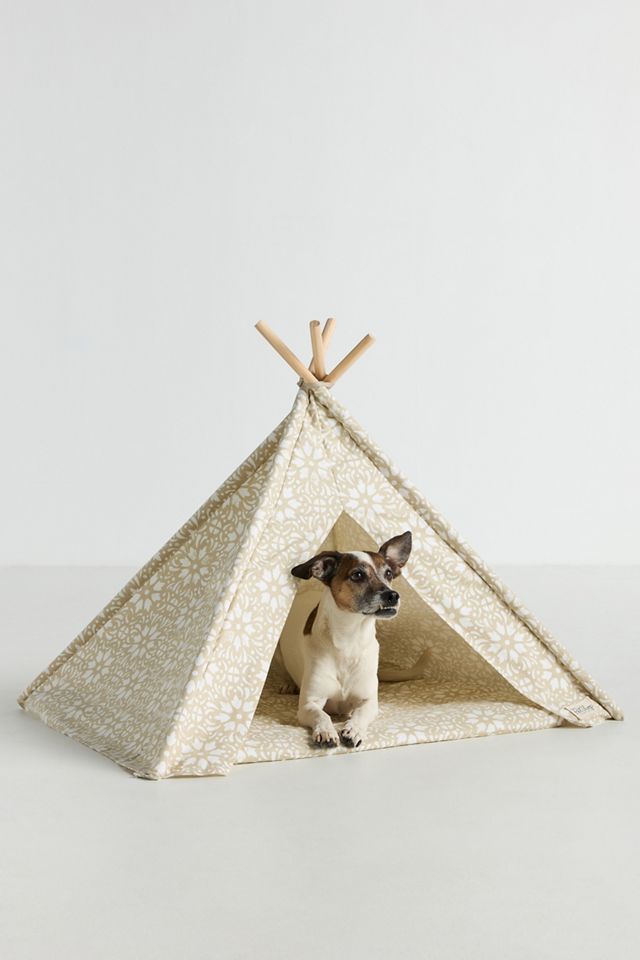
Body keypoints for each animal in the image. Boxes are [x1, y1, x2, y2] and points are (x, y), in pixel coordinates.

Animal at [276, 531, 429, 749]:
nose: (393, 595)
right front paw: (326, 731)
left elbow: (360, 714)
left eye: (389, 574)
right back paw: (286, 682)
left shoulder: (369, 701)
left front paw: (353, 729)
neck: (350, 637)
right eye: (357, 575)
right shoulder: (308, 704)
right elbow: (321, 715)